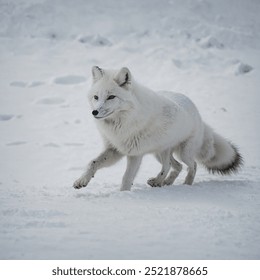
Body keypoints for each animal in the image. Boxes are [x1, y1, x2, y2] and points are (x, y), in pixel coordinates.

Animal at [72, 66, 242, 191]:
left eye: (111, 97)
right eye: (96, 97)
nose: (94, 112)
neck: (122, 123)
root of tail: (199, 115)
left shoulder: (135, 154)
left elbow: (127, 178)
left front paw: (124, 195)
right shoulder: (115, 149)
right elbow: (92, 163)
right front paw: (81, 180)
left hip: (182, 153)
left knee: (190, 165)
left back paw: (185, 185)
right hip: (159, 153)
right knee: (175, 166)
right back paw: (163, 182)